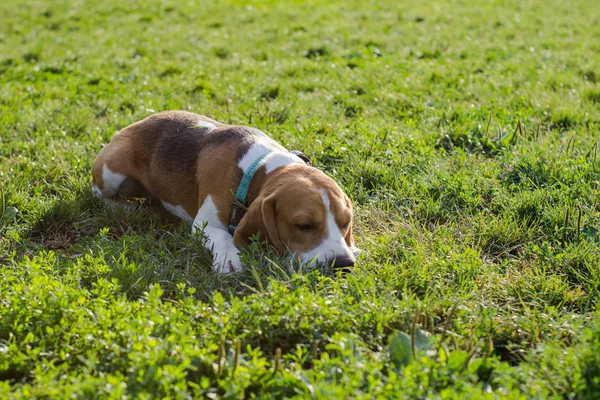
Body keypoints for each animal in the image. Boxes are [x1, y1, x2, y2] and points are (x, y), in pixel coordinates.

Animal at [91, 111, 358, 274]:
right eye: (303, 226)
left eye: (345, 222)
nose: (344, 264)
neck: (255, 170)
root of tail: (134, 124)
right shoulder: (204, 224)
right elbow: (223, 237)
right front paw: (229, 258)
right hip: (110, 171)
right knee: (97, 192)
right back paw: (122, 207)